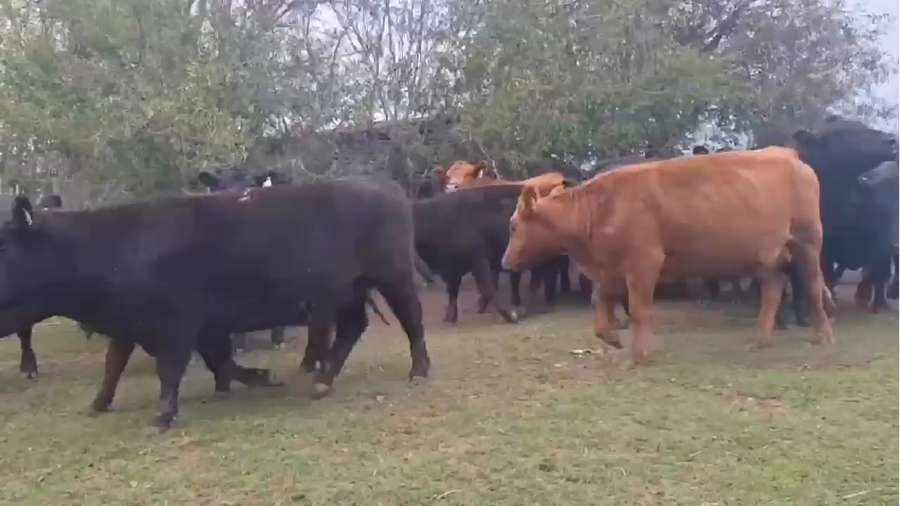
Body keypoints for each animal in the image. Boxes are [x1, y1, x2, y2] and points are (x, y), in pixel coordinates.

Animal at [0, 182, 430, 430]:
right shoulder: (136, 323)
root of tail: (386, 189)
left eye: (4, 246)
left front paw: (162, 415)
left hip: (392, 276)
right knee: (352, 327)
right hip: (349, 290)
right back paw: (323, 381)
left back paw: (419, 370)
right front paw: (99, 403)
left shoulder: (176, 322)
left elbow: (173, 368)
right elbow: (117, 364)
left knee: (412, 319)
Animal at [501, 147, 835, 363]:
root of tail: (790, 157)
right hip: (767, 257)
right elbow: (601, 305)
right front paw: (612, 338)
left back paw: (823, 336)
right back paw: (761, 339)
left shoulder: (643, 264)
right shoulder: (611, 270)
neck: (600, 207)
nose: (505, 262)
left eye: (514, 226)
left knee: (812, 286)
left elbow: (640, 310)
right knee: (773, 290)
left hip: (806, 244)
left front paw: (640, 354)